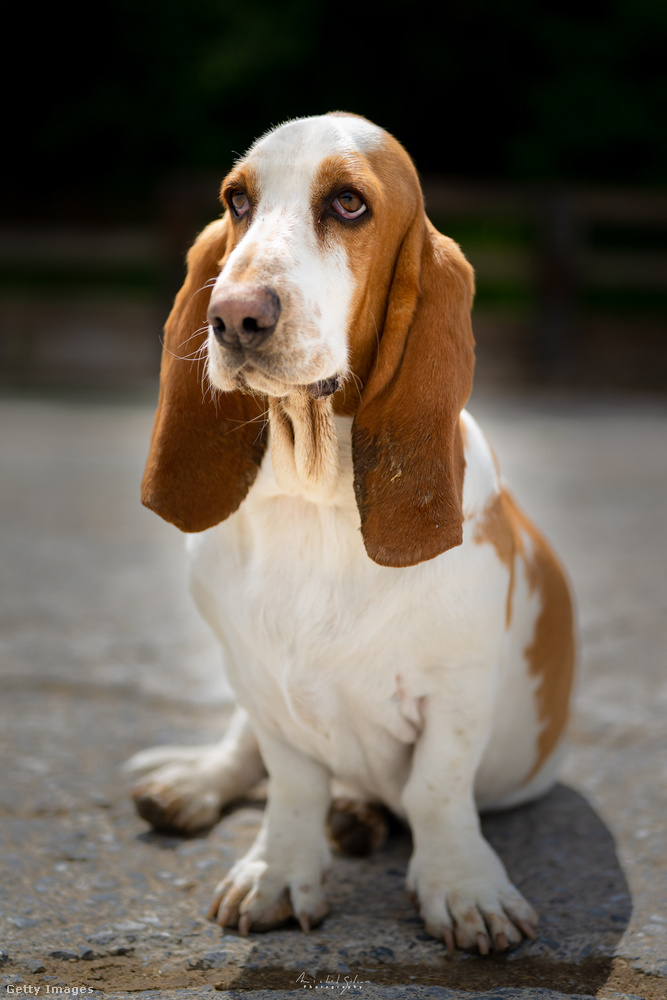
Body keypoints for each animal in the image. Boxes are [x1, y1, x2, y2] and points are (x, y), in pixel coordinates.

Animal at [128, 109, 576, 952]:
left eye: (347, 204)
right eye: (236, 201)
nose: (232, 316)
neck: (317, 499)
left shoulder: (456, 690)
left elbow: (435, 788)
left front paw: (464, 891)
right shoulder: (260, 685)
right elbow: (290, 780)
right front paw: (276, 873)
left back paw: (358, 815)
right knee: (241, 753)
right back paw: (190, 787)